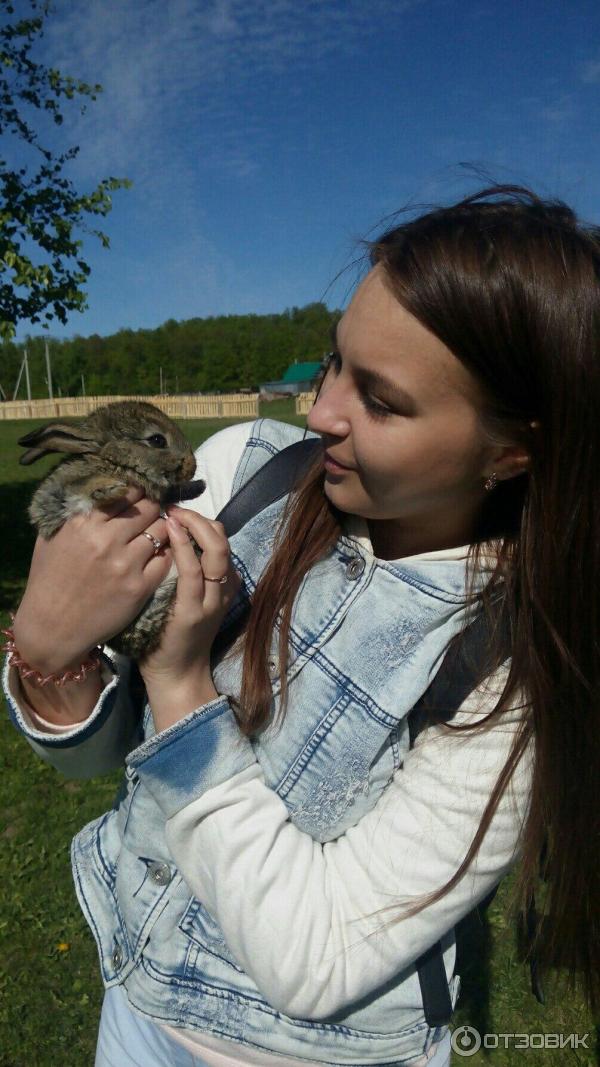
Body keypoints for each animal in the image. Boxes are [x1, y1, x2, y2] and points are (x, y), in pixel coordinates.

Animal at [18, 401, 204, 657]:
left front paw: (199, 486)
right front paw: (111, 489)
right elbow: (77, 489)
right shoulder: (55, 497)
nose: (191, 467)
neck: (114, 461)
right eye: (157, 440)